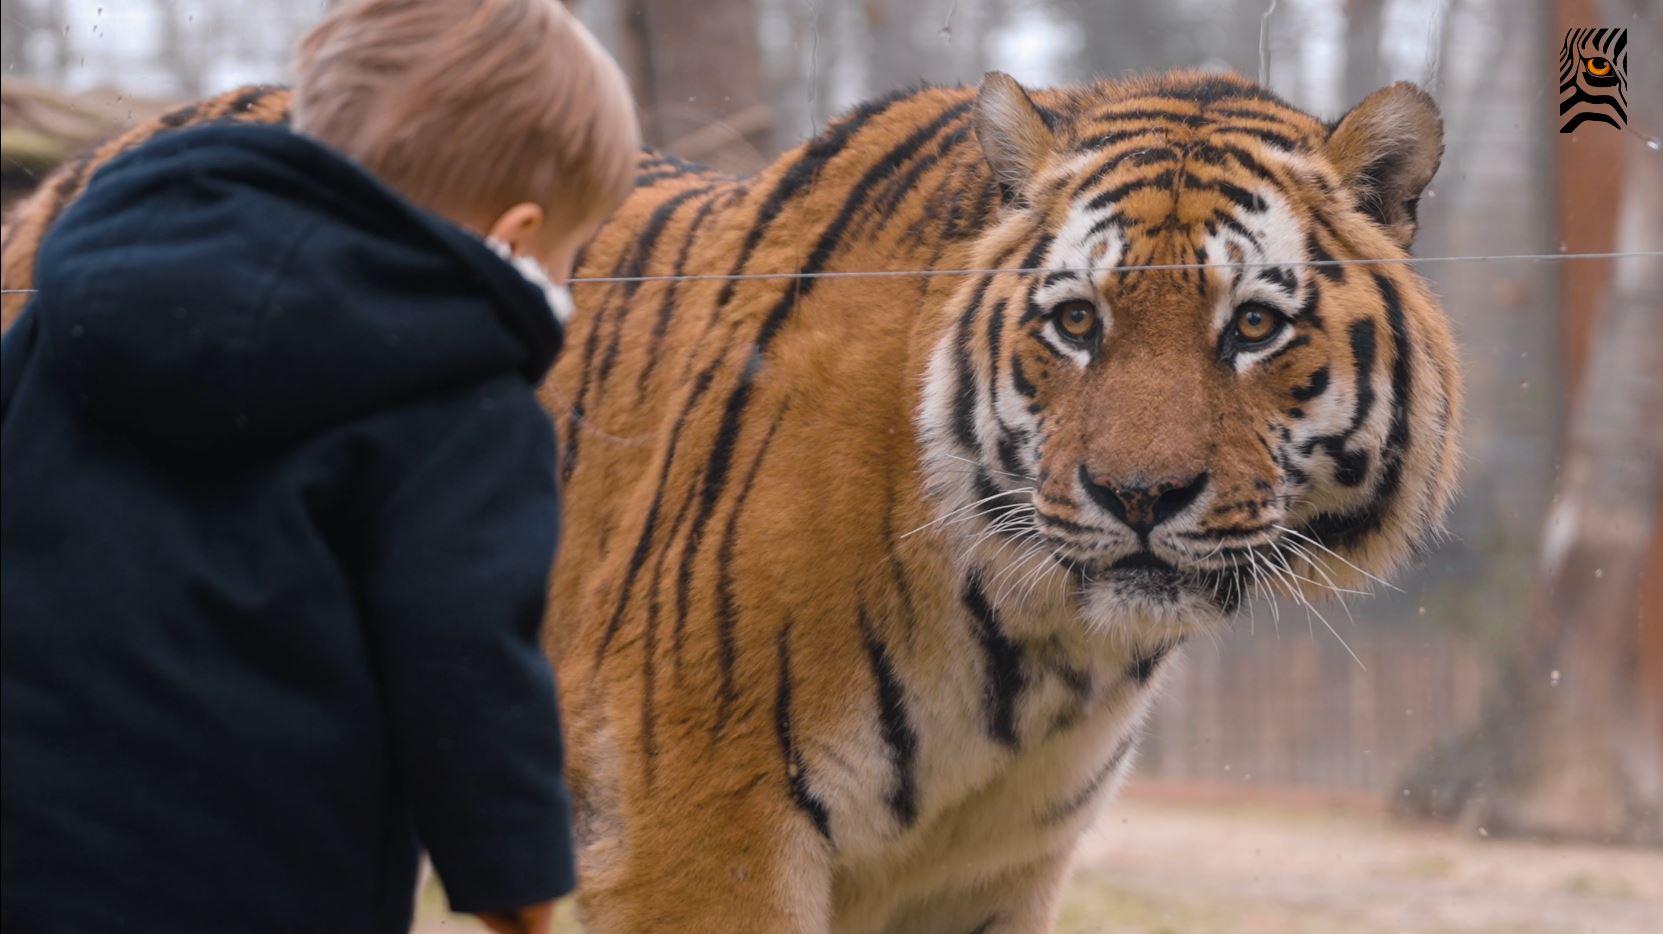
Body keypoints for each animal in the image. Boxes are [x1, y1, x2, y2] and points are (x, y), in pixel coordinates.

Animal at [0, 67, 1456, 930]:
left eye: (1252, 326)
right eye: (1076, 323)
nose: (1137, 494)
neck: (1041, 651)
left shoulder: (991, 871)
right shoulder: (695, 825)